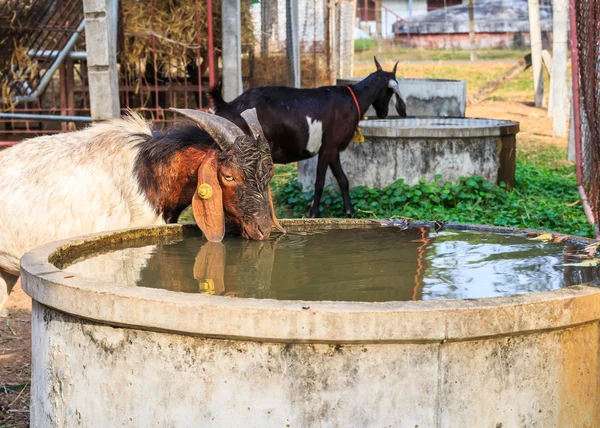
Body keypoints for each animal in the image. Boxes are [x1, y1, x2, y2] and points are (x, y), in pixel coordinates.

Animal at [209, 56, 406, 217]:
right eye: (389, 91)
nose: (383, 113)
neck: (353, 99)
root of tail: (227, 106)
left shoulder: (333, 149)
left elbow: (343, 180)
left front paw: (350, 211)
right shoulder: (327, 149)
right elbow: (319, 182)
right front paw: (314, 214)